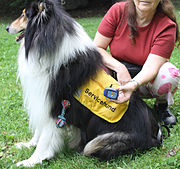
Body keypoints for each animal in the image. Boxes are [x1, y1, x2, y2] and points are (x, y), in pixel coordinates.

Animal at [6, 0, 162, 166]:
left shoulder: (55, 107)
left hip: (97, 142)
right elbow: (38, 131)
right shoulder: (44, 102)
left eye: (24, 14)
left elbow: (45, 137)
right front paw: (27, 144)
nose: (7, 28)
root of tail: (155, 136)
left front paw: (31, 161)